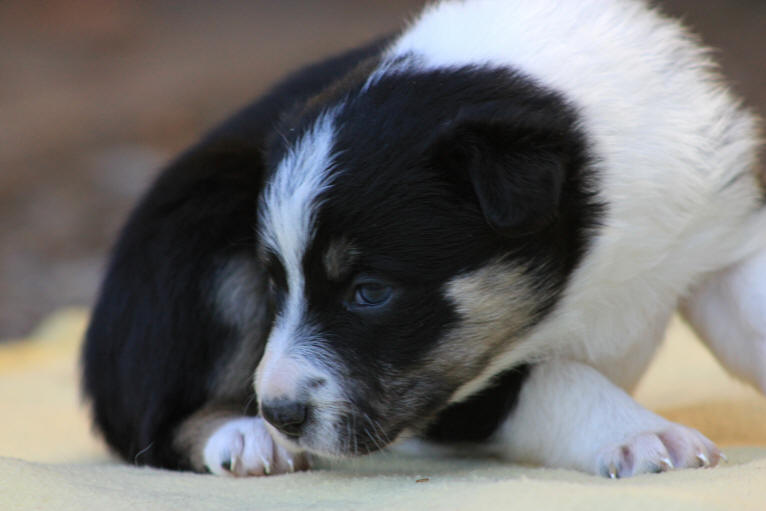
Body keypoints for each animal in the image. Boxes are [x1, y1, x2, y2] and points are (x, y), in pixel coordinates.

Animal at [81, 1, 764, 480]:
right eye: (275, 284)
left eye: (369, 292)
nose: (280, 411)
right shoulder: (456, 380)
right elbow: (552, 378)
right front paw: (643, 436)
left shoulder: (716, 235)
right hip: (200, 233)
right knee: (151, 422)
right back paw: (245, 438)